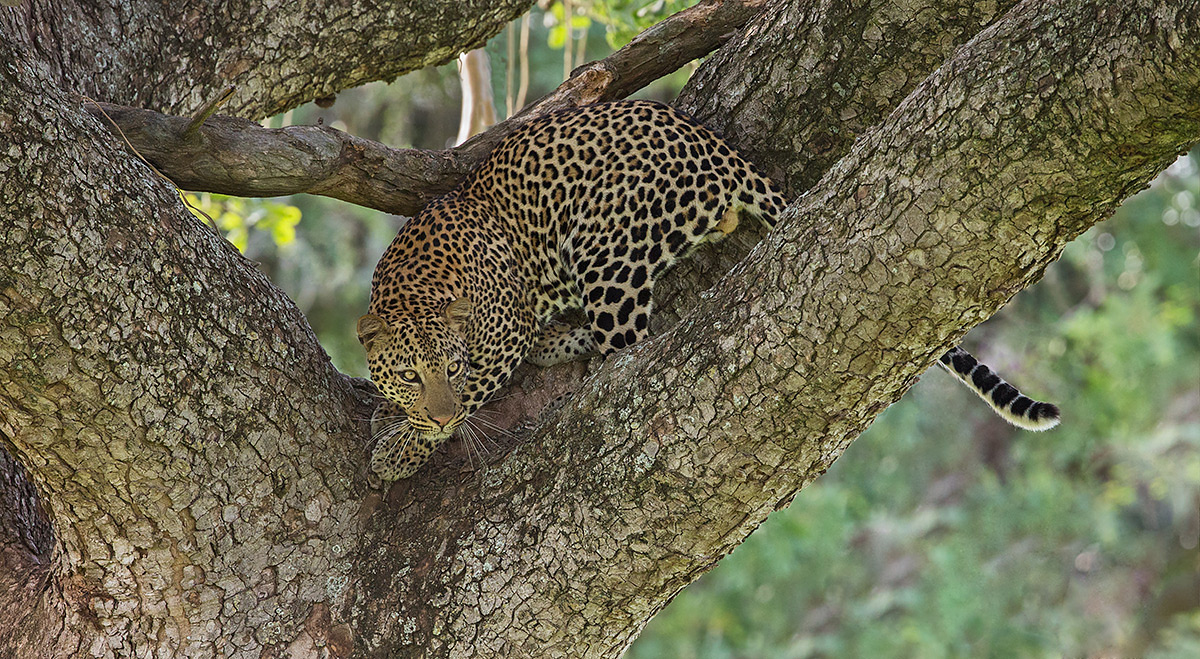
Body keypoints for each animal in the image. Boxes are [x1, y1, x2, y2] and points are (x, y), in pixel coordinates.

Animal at [359, 100, 1059, 481]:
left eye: (449, 367)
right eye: (412, 372)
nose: (432, 408)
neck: (408, 286)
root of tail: (714, 147)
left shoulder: (503, 333)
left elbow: (470, 396)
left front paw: (399, 447)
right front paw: (394, 416)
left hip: (604, 246)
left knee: (628, 349)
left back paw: (572, 354)